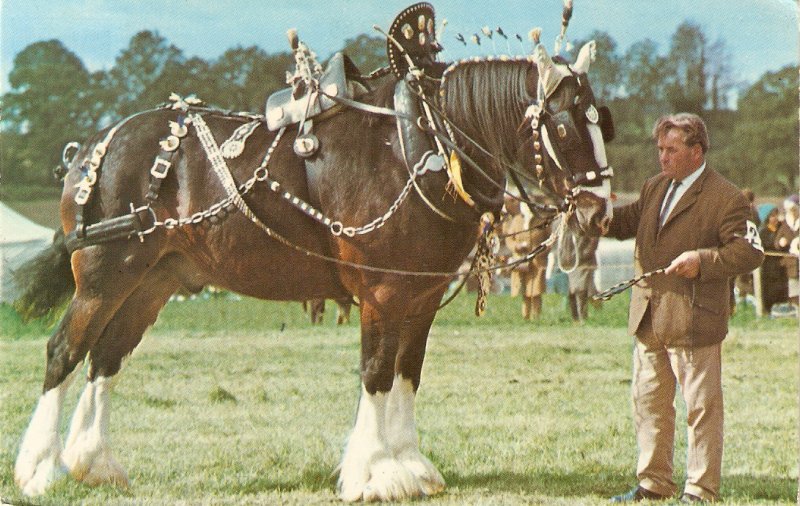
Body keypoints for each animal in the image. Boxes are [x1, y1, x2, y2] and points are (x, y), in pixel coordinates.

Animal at [12, 16, 612, 502]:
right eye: (563, 126)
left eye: (603, 120)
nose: (598, 213)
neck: (418, 146)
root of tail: (93, 147)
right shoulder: (382, 293)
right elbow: (376, 372)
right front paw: (373, 473)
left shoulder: (422, 295)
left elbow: (407, 373)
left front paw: (410, 465)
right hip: (103, 277)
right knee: (65, 351)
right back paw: (39, 470)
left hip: (152, 282)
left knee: (105, 357)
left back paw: (94, 464)